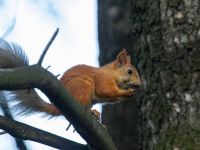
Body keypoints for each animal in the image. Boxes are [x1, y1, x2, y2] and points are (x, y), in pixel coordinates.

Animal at [0, 39, 141, 118]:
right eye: (129, 71)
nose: (139, 85)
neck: (112, 73)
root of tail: (57, 107)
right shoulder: (103, 79)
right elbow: (106, 91)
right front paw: (127, 92)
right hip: (84, 86)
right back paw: (91, 112)